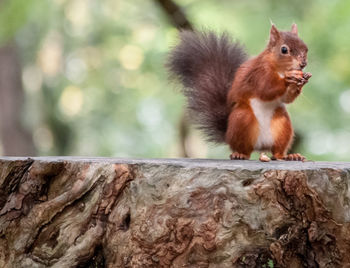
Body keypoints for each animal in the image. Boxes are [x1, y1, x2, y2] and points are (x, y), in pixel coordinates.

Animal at [167, 24, 312, 161]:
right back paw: (239, 154)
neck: (279, 69)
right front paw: (288, 78)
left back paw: (290, 156)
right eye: (284, 50)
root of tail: (261, 146)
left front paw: (300, 82)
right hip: (242, 118)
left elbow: (287, 98)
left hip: (282, 123)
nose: (303, 63)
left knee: (277, 153)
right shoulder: (257, 74)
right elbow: (266, 89)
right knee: (244, 150)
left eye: (306, 48)